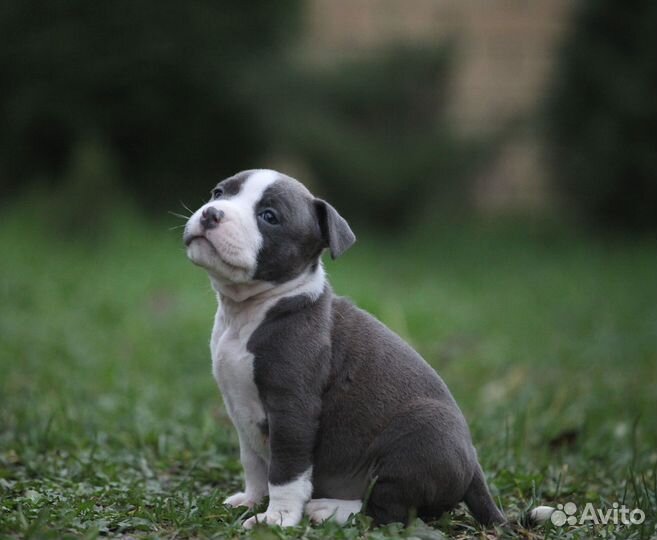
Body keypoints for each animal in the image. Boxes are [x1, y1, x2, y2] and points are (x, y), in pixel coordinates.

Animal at [182, 168, 504, 528]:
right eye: (219, 192)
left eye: (269, 217)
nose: (211, 213)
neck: (252, 311)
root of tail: (474, 466)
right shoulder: (240, 410)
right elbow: (252, 462)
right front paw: (251, 500)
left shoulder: (293, 410)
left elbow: (285, 471)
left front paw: (276, 518)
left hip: (419, 439)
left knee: (387, 511)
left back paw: (328, 509)